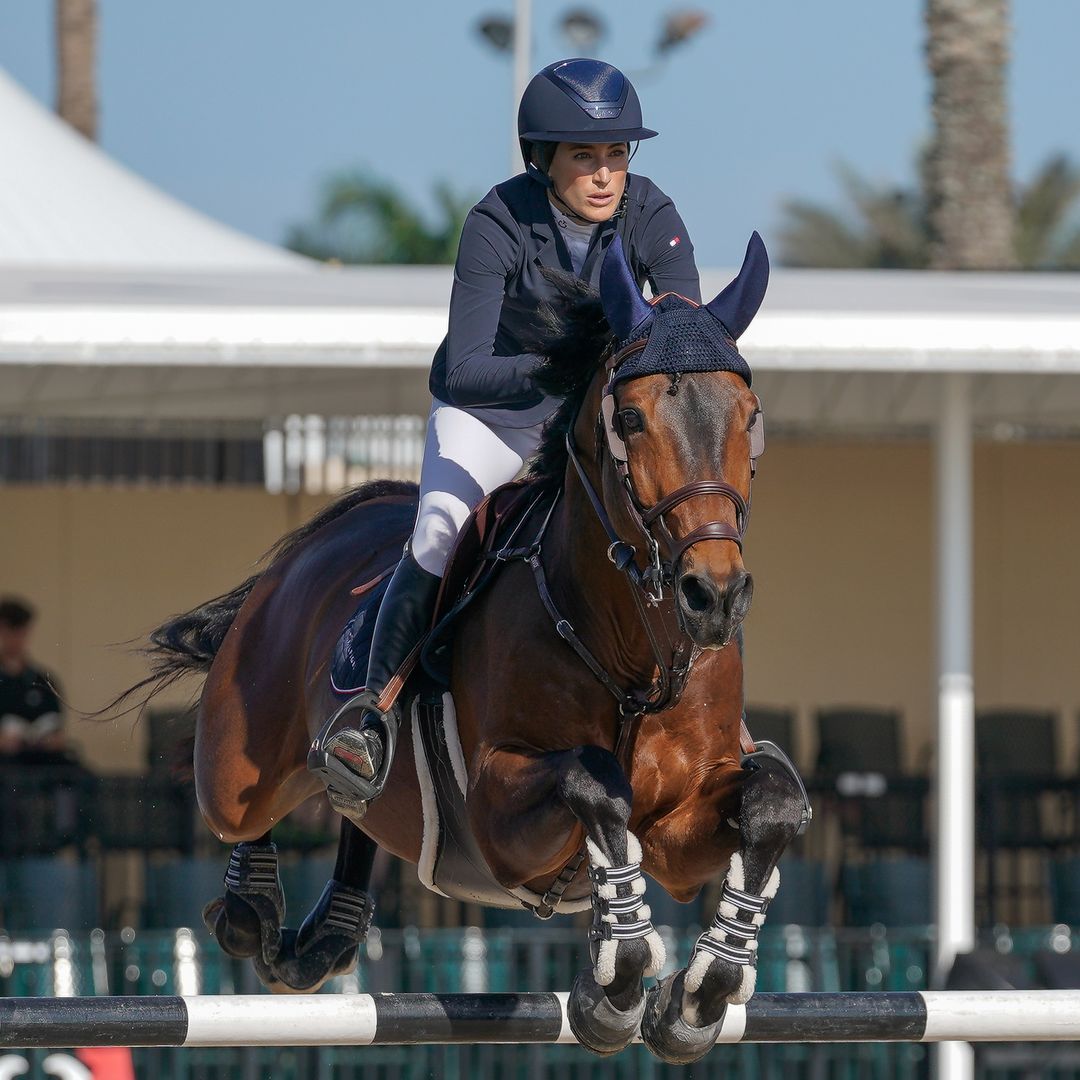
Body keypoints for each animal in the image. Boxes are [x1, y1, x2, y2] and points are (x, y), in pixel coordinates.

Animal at [122, 236, 807, 1062]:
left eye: (750, 417)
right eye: (631, 418)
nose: (713, 597)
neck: (630, 652)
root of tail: (315, 544)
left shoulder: (678, 834)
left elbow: (773, 805)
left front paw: (700, 995)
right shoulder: (499, 817)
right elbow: (595, 782)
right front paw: (615, 987)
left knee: (355, 810)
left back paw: (323, 936)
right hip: (237, 762)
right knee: (241, 813)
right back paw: (252, 909)